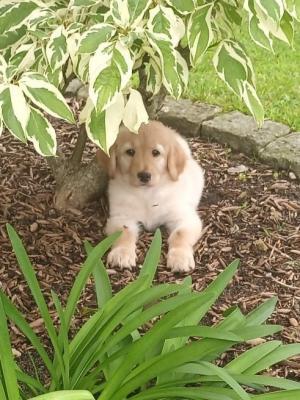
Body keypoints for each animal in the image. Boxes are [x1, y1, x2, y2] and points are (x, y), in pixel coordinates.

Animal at [97, 121, 205, 272]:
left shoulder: (185, 217)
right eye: (130, 152)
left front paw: (180, 258)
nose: (144, 176)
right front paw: (121, 254)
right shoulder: (121, 217)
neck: (147, 194)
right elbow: (124, 232)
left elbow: (180, 234)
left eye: (156, 152)